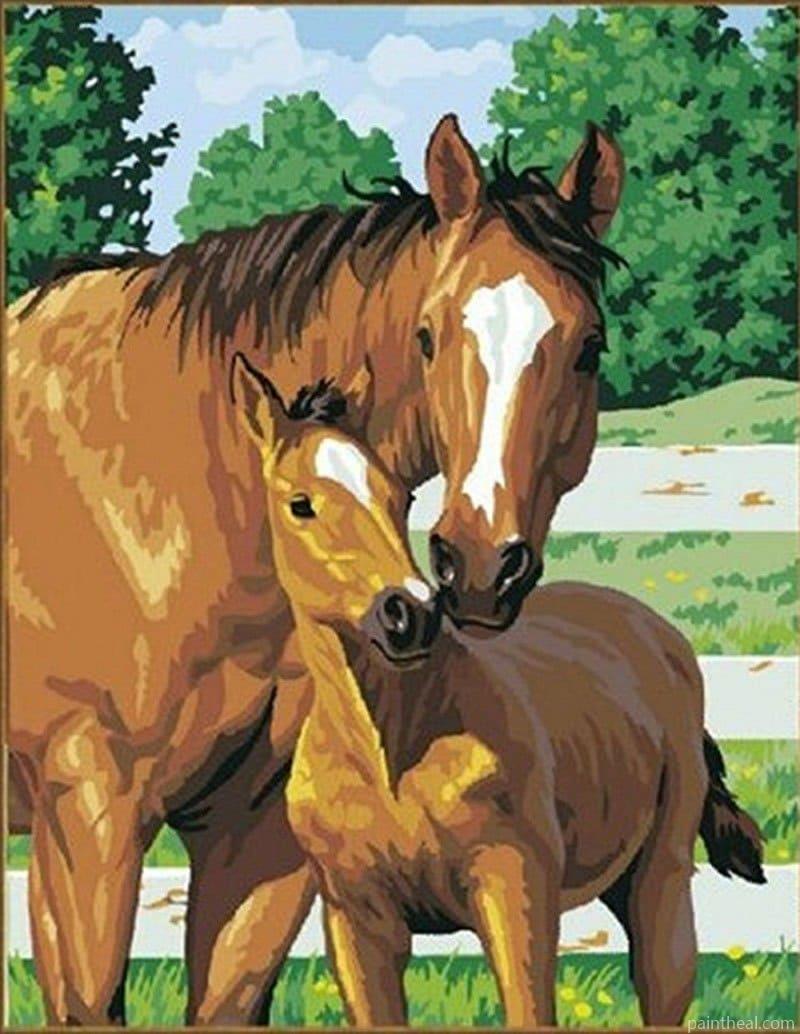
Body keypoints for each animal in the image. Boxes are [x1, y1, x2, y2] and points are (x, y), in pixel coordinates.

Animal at [232, 353, 766, 1029]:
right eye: (300, 504)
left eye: (400, 496)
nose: (409, 614)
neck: (394, 751)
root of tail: (661, 635)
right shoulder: (357, 921)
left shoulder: (515, 895)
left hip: (661, 882)